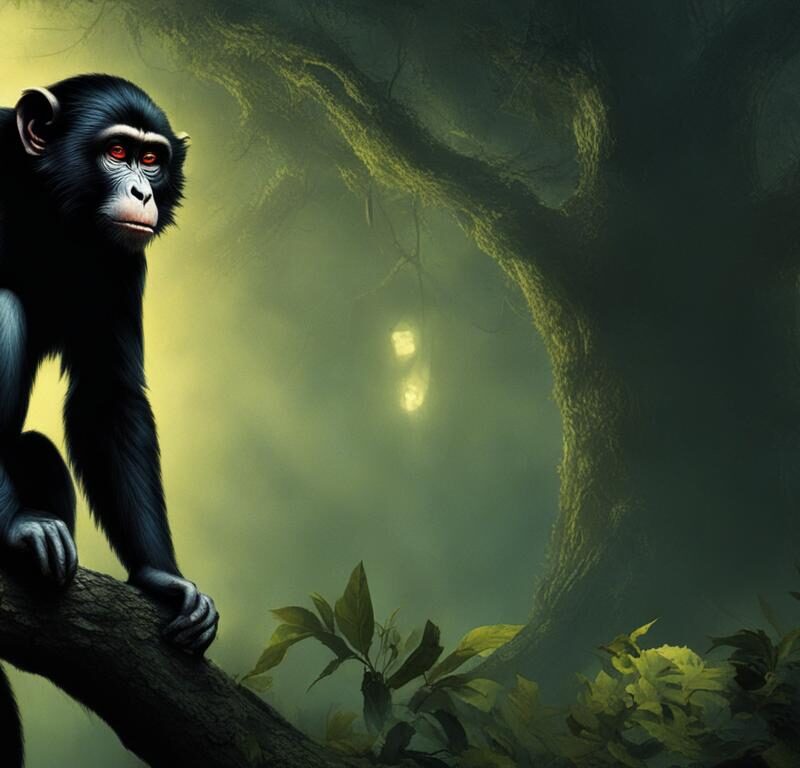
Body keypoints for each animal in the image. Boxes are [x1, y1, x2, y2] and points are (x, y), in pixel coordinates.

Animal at [0, 74, 219, 765]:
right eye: (117, 152)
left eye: (152, 159)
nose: (143, 190)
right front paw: (17, 530)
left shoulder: (124, 264)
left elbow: (109, 397)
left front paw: (160, 579)